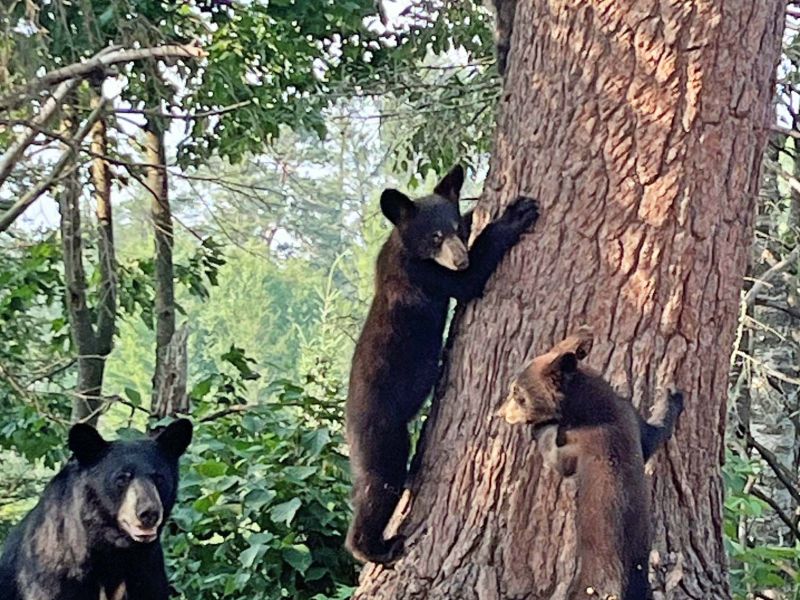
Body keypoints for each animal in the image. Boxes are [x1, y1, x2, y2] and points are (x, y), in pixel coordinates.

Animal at [345, 163, 539, 564]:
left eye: (454, 229)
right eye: (435, 237)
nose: (459, 257)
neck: (402, 248)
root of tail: (349, 429)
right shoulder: (424, 275)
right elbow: (469, 281)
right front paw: (515, 214)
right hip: (383, 433)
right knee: (380, 483)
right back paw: (378, 548)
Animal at [496, 327, 684, 600]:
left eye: (517, 394)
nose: (499, 413)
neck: (593, 405)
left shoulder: (583, 442)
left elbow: (558, 457)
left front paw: (539, 427)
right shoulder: (632, 422)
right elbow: (654, 434)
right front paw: (673, 397)